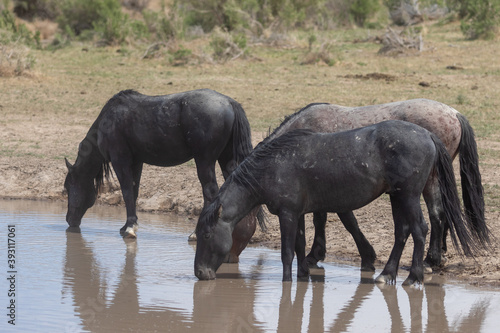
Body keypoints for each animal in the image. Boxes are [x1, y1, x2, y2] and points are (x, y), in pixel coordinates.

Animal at [64, 87, 264, 252]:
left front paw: (129, 228)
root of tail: (229, 103)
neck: (109, 121)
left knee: (210, 192)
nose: (69, 220)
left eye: (67, 188)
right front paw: (127, 225)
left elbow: (127, 191)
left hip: (204, 161)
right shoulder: (136, 162)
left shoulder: (121, 161)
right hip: (226, 159)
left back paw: (196, 234)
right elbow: (134, 192)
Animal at [193, 120, 482, 284]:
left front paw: (287, 282)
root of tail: (428, 135)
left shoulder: (287, 213)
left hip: (409, 196)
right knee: (402, 232)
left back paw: (413, 277)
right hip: (397, 196)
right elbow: (300, 245)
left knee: (420, 230)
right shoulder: (298, 213)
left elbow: (287, 252)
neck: (272, 166)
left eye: (206, 235)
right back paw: (386, 274)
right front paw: (303, 276)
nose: (199, 273)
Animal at [264, 99, 490, 270]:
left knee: (437, 214)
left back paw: (430, 260)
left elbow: (333, 220)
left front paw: (316, 255)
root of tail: (454, 113)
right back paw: (436, 257)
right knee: (440, 214)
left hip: (430, 180)